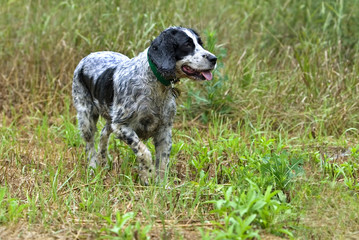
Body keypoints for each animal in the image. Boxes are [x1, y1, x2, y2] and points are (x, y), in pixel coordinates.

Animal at [71, 26, 217, 185]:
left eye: (200, 43)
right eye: (187, 45)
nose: (214, 59)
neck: (153, 83)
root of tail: (88, 56)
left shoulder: (164, 130)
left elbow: (163, 162)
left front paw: (161, 185)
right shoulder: (121, 126)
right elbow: (144, 152)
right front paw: (147, 175)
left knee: (103, 133)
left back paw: (103, 160)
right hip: (86, 117)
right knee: (89, 144)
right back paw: (93, 167)